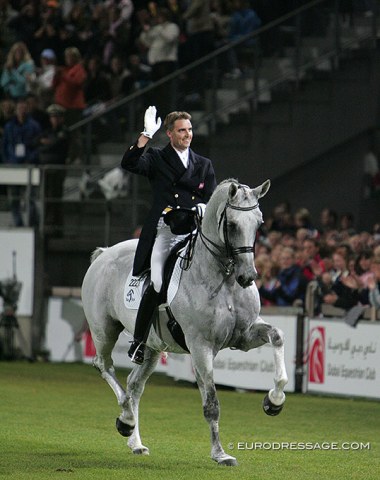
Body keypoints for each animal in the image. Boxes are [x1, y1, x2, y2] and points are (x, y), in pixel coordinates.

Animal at [81, 179, 288, 464]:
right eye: (232, 225)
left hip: (151, 346)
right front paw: (220, 454)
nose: (248, 276)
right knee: (104, 365)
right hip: (104, 330)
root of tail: (104, 253)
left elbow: (277, 335)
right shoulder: (200, 346)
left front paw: (274, 401)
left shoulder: (244, 336)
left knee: (135, 384)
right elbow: (211, 403)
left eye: (259, 223)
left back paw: (135, 439)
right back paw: (125, 420)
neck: (223, 279)